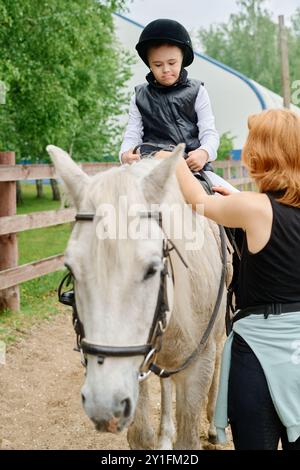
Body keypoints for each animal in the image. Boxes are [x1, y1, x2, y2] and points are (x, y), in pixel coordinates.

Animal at [47, 145, 231, 450]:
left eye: (152, 268)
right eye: (71, 269)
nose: (103, 404)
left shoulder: (198, 365)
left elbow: (188, 438)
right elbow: (141, 435)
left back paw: (215, 427)